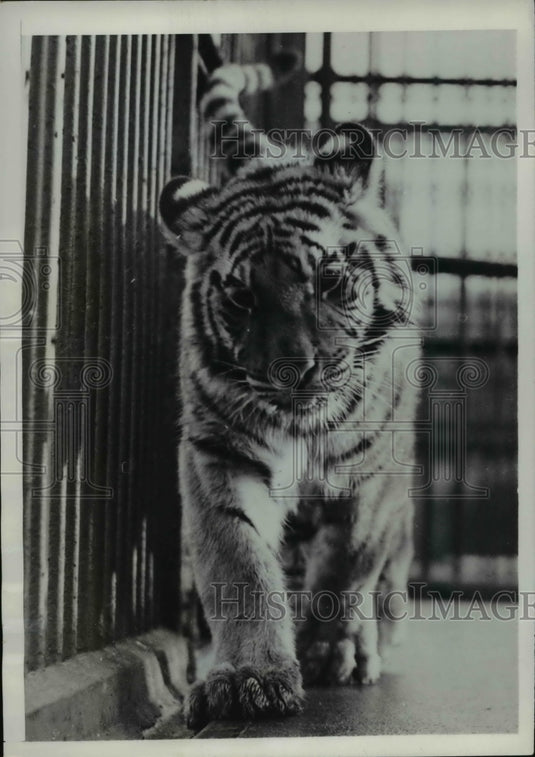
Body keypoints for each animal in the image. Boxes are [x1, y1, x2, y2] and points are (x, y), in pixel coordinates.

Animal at [159, 51, 420, 730]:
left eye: (329, 279)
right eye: (242, 296)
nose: (292, 371)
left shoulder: (373, 467)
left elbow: (348, 563)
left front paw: (333, 652)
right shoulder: (218, 454)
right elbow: (240, 563)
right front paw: (249, 678)